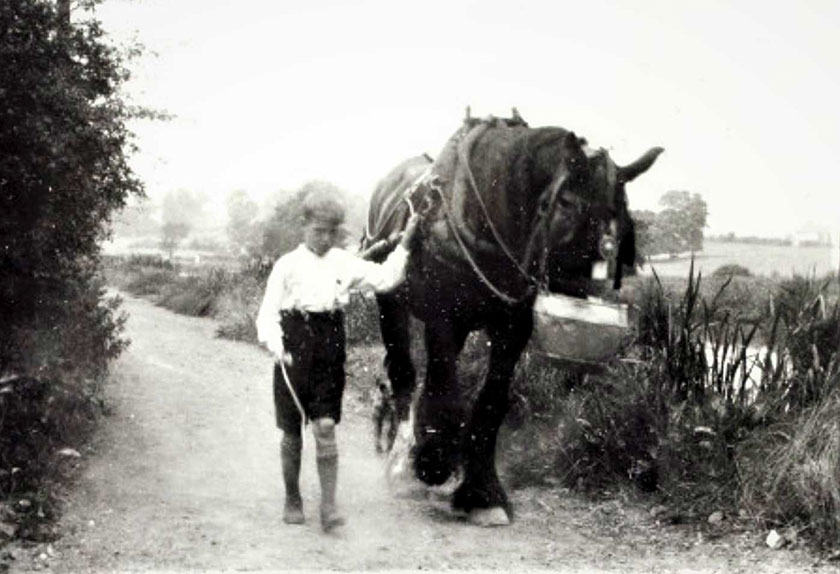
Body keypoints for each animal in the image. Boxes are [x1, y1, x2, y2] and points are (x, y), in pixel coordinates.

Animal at [360, 115, 664, 528]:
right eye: (564, 203)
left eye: (620, 218)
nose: (578, 290)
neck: (485, 217)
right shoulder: (443, 318)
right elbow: (445, 390)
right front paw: (434, 462)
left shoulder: (513, 328)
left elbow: (491, 401)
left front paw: (481, 493)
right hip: (391, 303)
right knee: (404, 374)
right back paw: (402, 462)